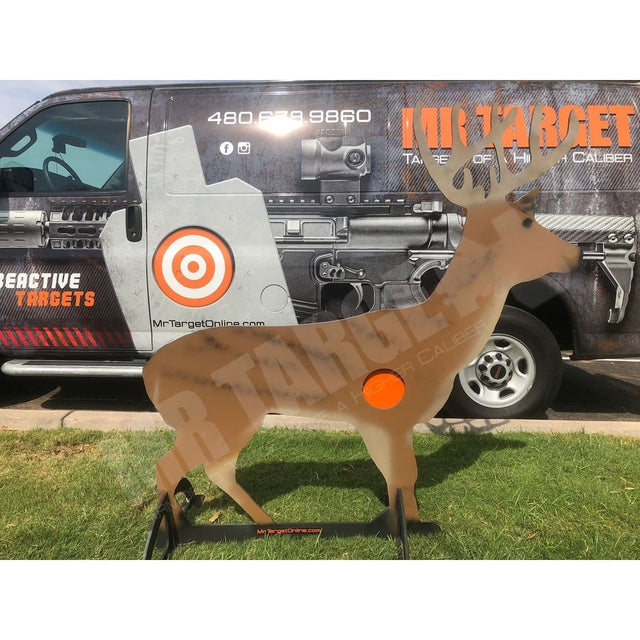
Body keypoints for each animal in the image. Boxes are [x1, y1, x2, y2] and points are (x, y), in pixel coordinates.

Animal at [143, 103, 581, 532]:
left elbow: (398, 479)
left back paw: (254, 520)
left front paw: (401, 519)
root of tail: (151, 373)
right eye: (525, 224)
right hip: (223, 414)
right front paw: (411, 526)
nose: (574, 253)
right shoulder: (385, 417)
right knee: (172, 466)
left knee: (209, 469)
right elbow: (403, 476)